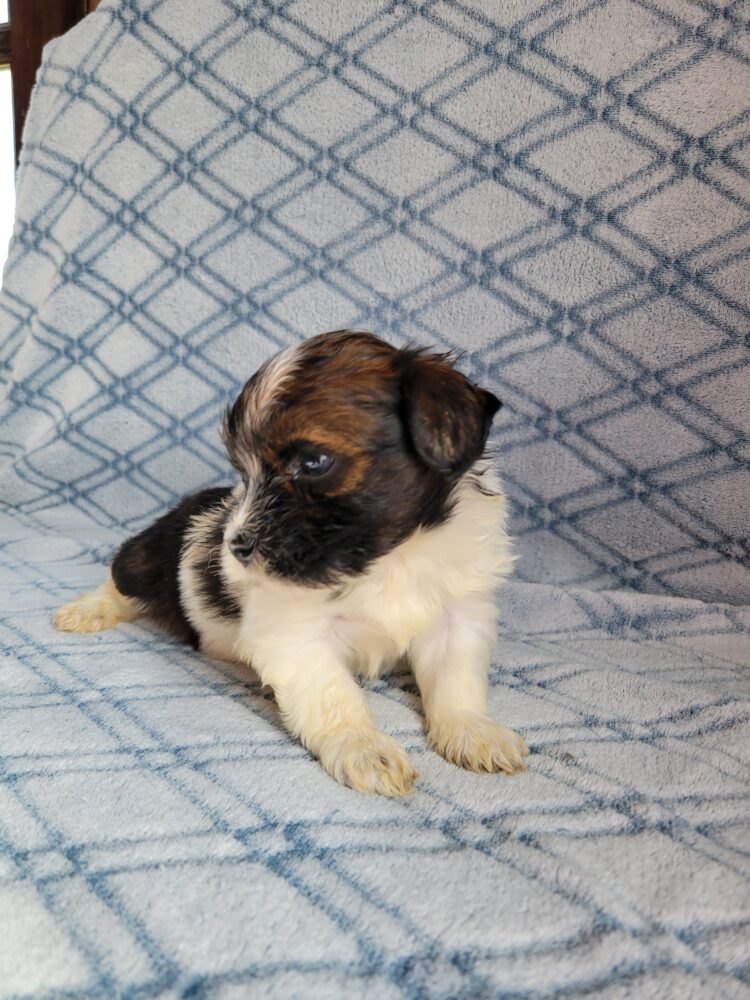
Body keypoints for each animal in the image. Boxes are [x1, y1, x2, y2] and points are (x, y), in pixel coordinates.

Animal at [54, 330, 527, 795]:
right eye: (244, 473)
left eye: (314, 462)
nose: (235, 546)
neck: (391, 558)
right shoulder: (296, 636)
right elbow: (334, 695)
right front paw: (362, 747)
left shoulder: (458, 615)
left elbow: (455, 679)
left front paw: (473, 731)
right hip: (145, 556)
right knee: (120, 580)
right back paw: (85, 611)